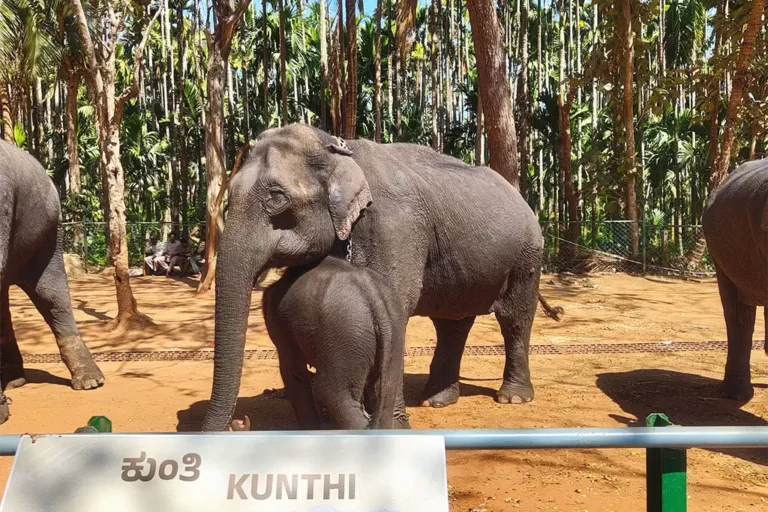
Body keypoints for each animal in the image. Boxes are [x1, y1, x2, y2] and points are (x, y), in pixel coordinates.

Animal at [262, 256, 406, 429]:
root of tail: (372, 295)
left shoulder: (282, 331)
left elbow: (295, 375)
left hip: (345, 335)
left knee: (332, 394)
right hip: (393, 330)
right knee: (386, 395)